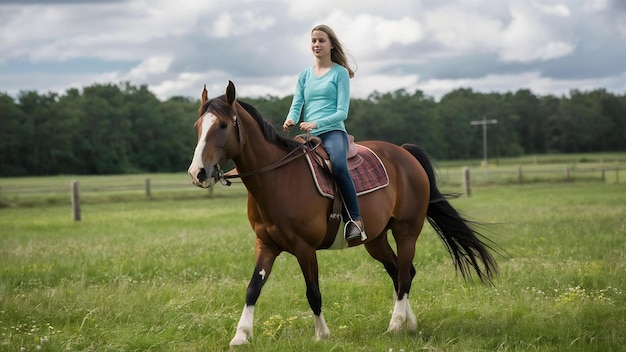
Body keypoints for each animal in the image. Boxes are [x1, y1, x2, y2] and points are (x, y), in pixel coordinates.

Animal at [185, 80, 498, 346]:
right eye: (198, 126)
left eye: (222, 125)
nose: (197, 173)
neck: (279, 179)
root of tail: (406, 153)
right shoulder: (266, 245)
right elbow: (253, 288)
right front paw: (240, 335)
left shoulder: (304, 248)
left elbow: (313, 292)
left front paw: (322, 334)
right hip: (375, 239)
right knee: (401, 271)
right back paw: (409, 323)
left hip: (407, 231)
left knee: (405, 275)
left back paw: (395, 325)